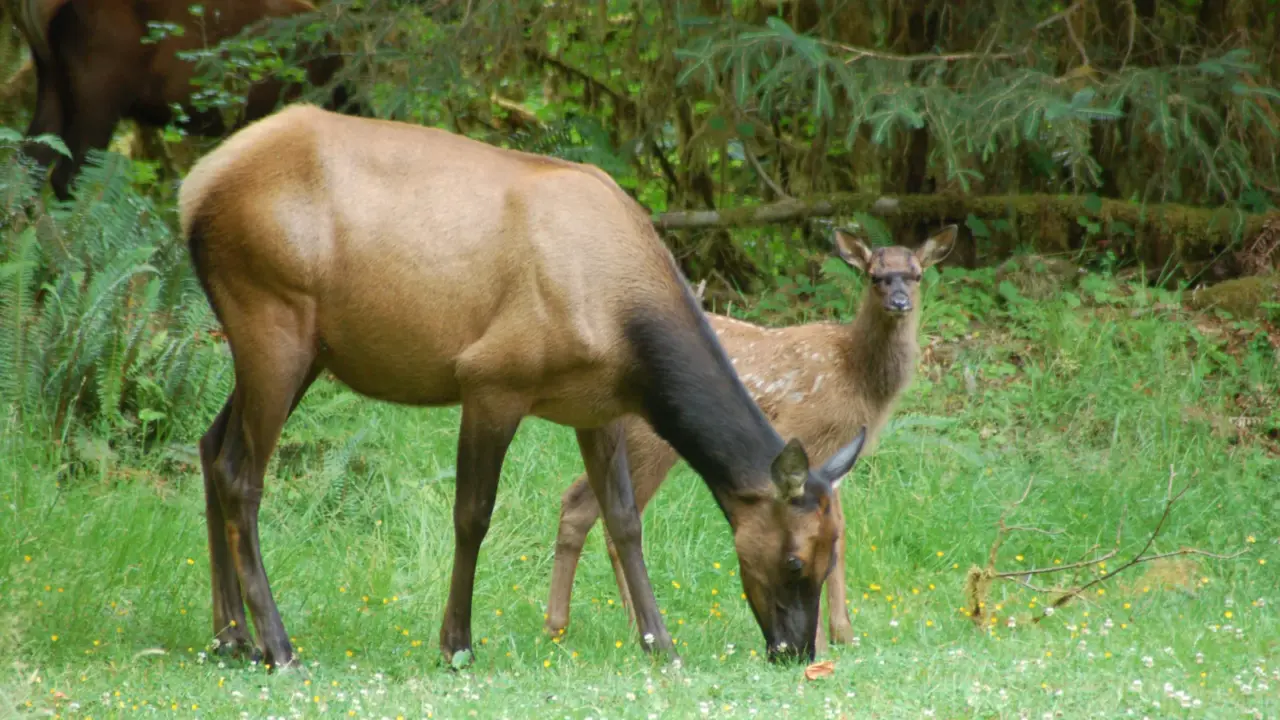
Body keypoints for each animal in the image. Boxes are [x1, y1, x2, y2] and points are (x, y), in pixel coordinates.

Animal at [177, 103, 869, 670]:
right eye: (795, 560)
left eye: (833, 551)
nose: (795, 650)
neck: (627, 334)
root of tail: (192, 190)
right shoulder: (491, 379)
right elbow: (473, 514)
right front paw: (455, 643)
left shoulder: (598, 407)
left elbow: (623, 519)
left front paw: (661, 645)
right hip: (273, 317)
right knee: (241, 473)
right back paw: (278, 646)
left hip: (299, 348)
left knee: (210, 447)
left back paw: (231, 637)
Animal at [544, 224, 958, 648]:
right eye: (875, 276)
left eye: (917, 275)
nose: (899, 301)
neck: (855, 373)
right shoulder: (804, 432)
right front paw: (825, 637)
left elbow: (839, 532)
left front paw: (845, 634)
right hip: (650, 442)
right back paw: (635, 630)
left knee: (577, 501)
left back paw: (566, 627)